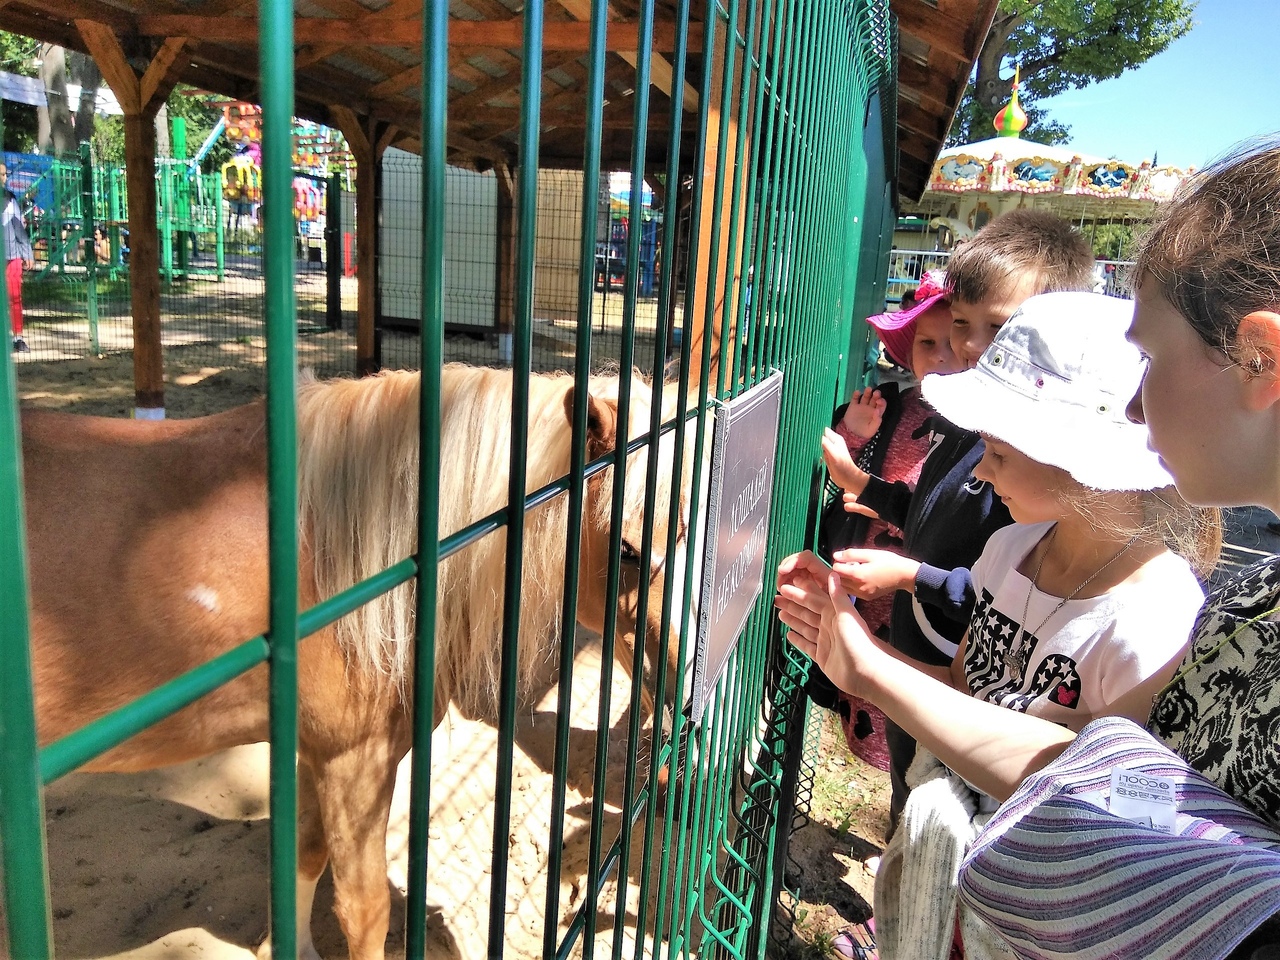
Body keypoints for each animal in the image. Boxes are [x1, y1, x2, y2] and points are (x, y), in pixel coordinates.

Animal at [20, 363, 688, 960]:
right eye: (630, 549)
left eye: (683, 528)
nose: (684, 682)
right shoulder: (354, 761)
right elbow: (363, 910)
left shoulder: (314, 752)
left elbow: (302, 858)